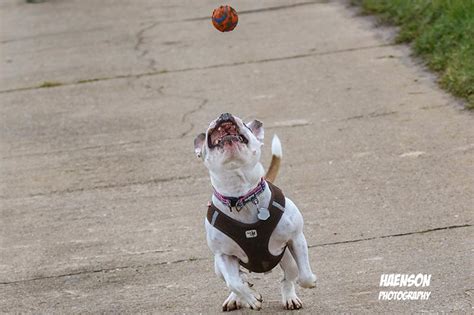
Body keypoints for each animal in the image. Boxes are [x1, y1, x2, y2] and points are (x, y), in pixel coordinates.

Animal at [194, 113, 316, 312]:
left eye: (245, 124)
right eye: (207, 130)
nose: (224, 114)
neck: (240, 197)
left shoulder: (296, 238)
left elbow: (304, 276)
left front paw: (311, 280)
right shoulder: (223, 255)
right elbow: (234, 283)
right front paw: (251, 298)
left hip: (288, 260)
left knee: (288, 278)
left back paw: (290, 297)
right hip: (218, 267)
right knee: (235, 279)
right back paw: (236, 297)